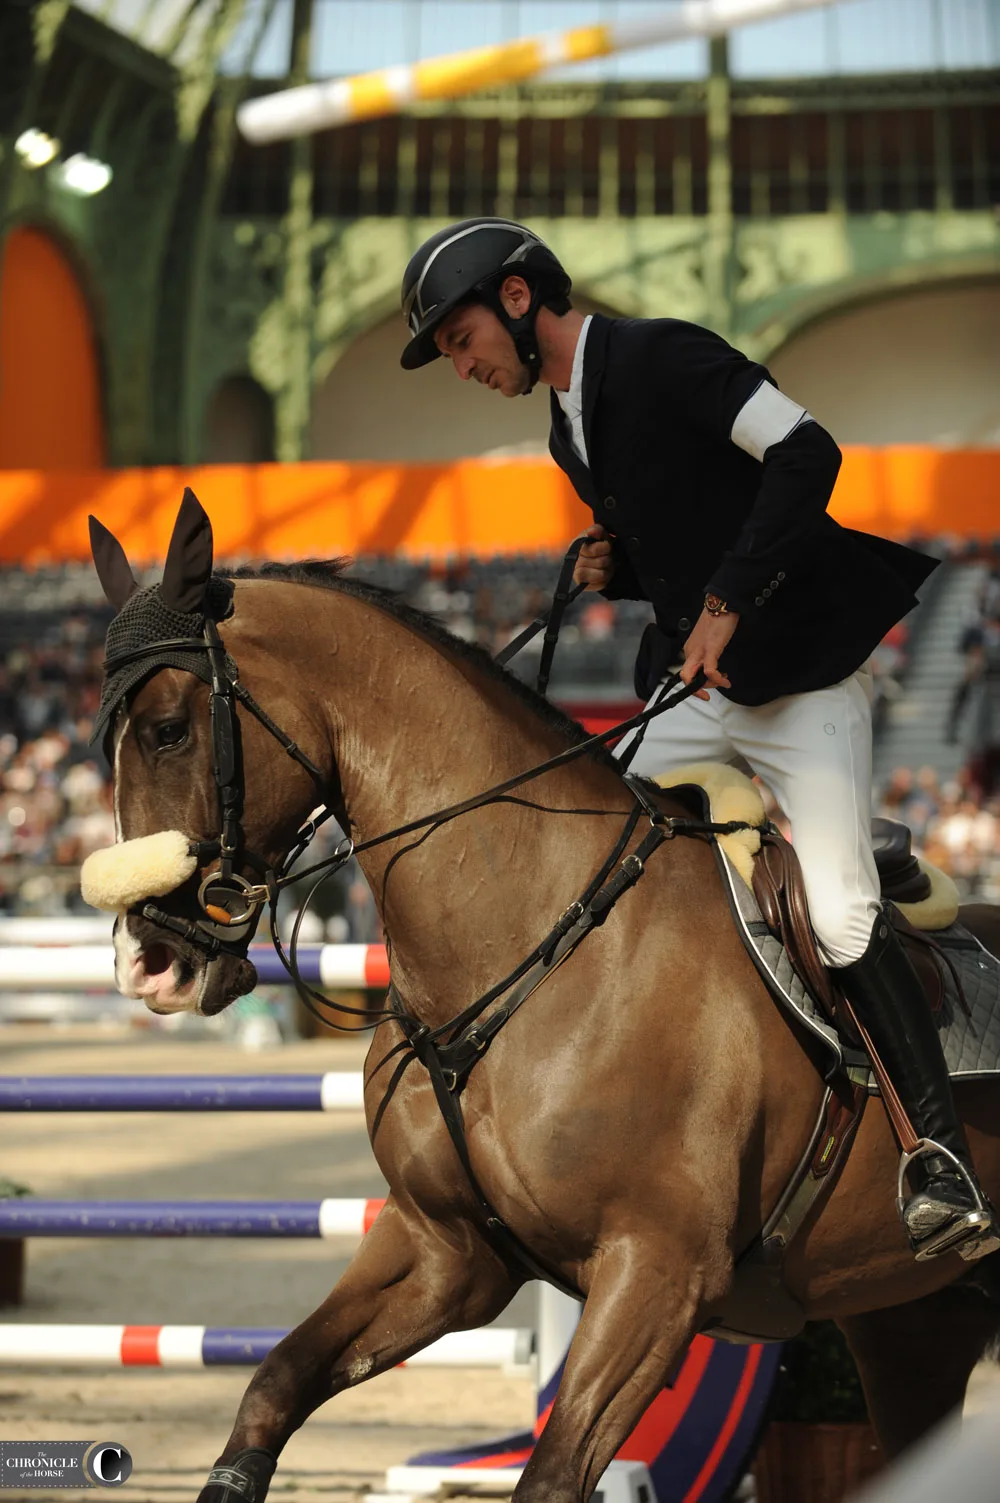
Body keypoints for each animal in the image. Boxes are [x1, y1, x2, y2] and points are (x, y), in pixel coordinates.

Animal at [85, 505, 998, 1503]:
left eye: (169, 730)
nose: (148, 964)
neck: (533, 934)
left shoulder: (657, 1274)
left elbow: (552, 1472)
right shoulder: (445, 1252)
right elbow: (272, 1387)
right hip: (912, 1320)